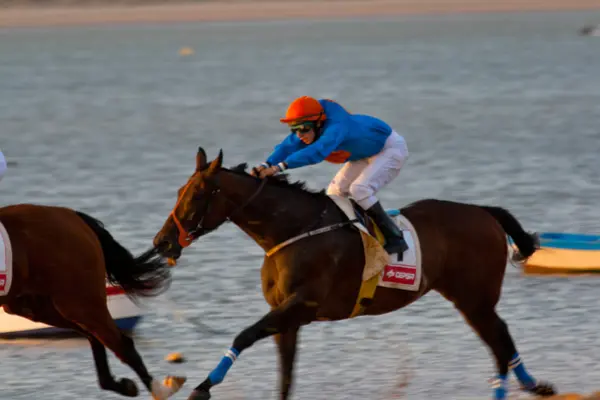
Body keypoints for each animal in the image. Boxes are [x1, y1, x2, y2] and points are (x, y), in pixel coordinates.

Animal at [0, 205, 186, 398]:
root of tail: (71, 214)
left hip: (80, 302)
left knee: (119, 343)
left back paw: (160, 390)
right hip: (39, 305)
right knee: (95, 337)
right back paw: (125, 385)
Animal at [152, 148, 556, 400]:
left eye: (197, 194)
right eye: (179, 190)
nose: (162, 242)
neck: (293, 230)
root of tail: (484, 212)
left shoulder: (301, 305)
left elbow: (244, 335)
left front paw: (203, 386)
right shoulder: (288, 318)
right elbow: (285, 375)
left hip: (474, 298)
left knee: (499, 339)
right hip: (470, 300)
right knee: (498, 339)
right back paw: (531, 385)